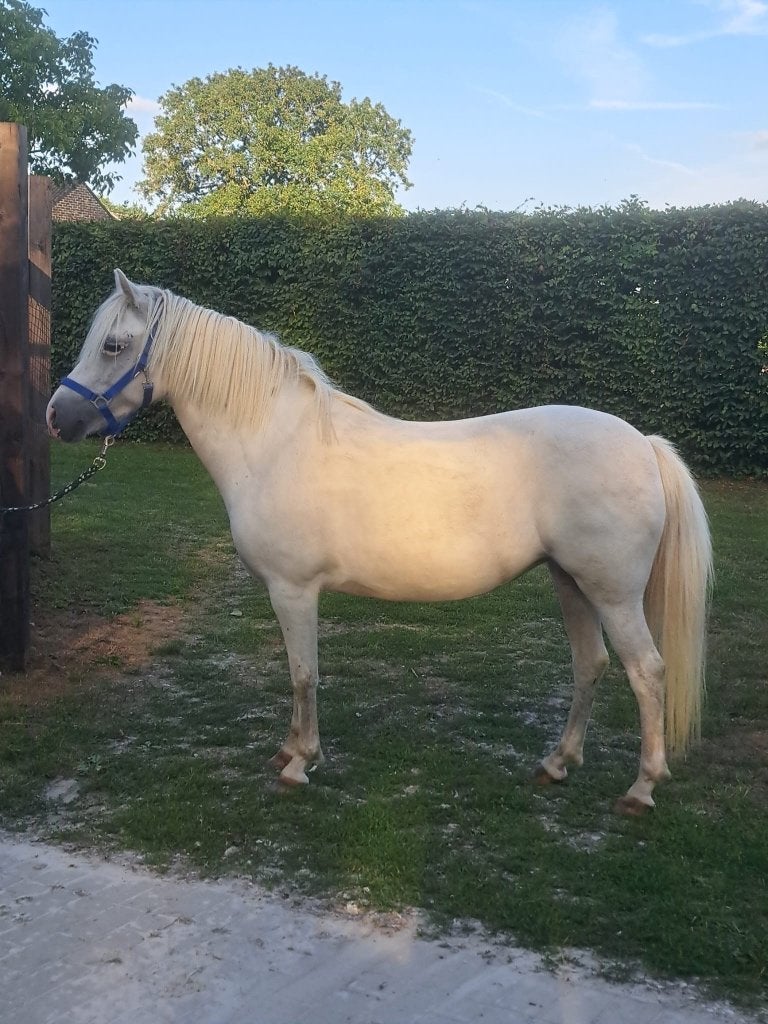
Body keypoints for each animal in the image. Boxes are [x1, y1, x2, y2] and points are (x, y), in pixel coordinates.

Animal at [47, 270, 713, 815]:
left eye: (113, 345)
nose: (57, 417)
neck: (273, 443)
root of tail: (642, 443)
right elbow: (300, 675)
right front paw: (288, 750)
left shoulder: (293, 590)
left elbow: (303, 674)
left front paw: (298, 763)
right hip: (570, 581)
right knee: (590, 664)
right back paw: (556, 764)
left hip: (612, 594)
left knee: (646, 672)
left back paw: (641, 789)